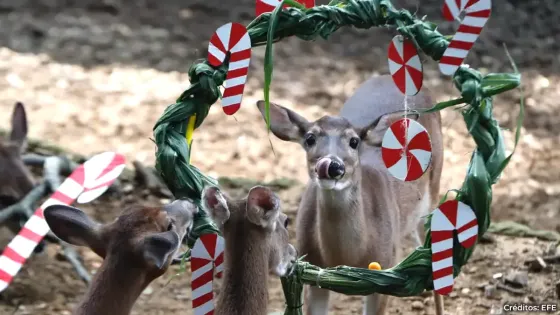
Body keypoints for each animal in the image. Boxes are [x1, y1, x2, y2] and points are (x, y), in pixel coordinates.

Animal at [256, 74, 444, 315]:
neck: (347, 256)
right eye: (309, 138)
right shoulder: (310, 271)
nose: (332, 166)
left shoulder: (385, 270)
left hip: (434, 190)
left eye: (354, 141)